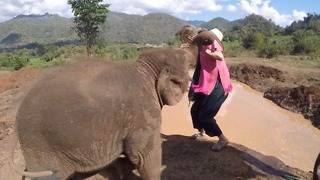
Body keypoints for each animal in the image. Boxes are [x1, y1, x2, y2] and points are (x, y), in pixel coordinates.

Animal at [10, 29, 216, 179]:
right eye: (188, 60)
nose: (202, 33)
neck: (146, 68)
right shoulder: (144, 113)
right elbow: (144, 156)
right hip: (39, 144)